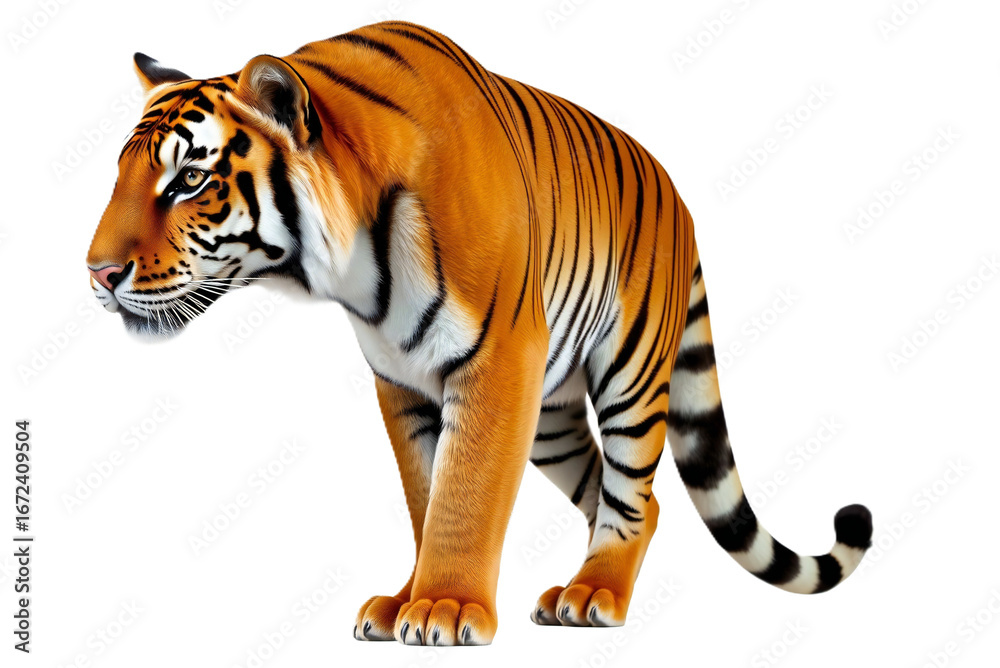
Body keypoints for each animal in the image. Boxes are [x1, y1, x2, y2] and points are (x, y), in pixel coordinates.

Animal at [85, 21, 873, 646]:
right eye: (121, 174)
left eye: (189, 180)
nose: (97, 273)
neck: (354, 265)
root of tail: (675, 192)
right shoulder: (401, 380)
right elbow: (424, 493)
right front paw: (407, 600)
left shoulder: (497, 362)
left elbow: (466, 491)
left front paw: (444, 607)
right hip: (550, 417)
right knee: (634, 500)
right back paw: (574, 589)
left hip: (630, 367)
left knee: (630, 492)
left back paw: (598, 593)